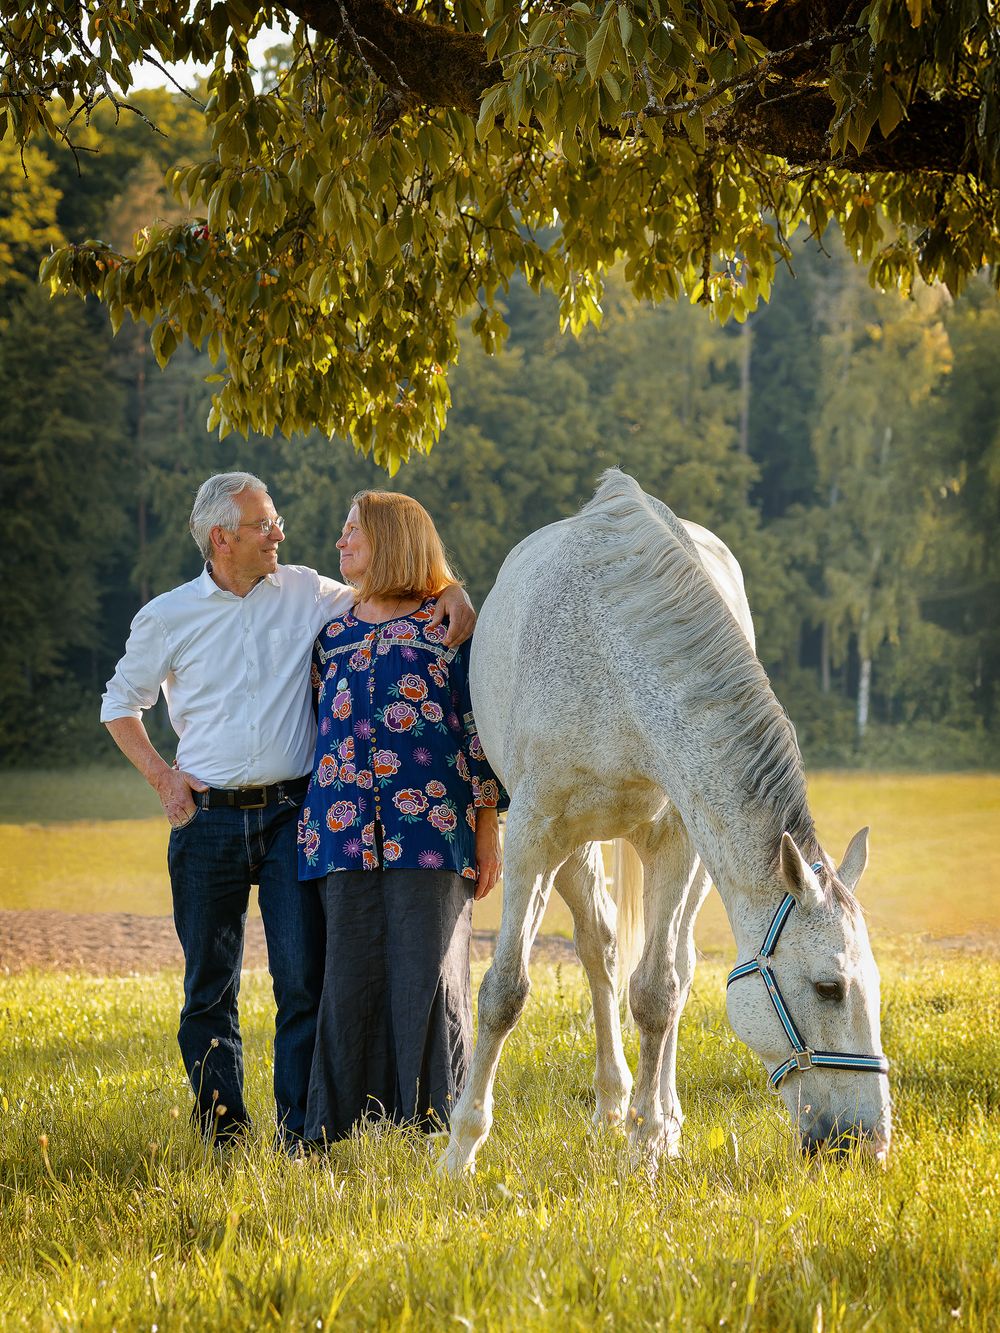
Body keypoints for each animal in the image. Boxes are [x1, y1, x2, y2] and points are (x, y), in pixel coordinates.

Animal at [440, 469, 891, 1175]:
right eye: (828, 988)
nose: (865, 1144)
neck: (614, 657)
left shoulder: (677, 839)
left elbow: (657, 992)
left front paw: (648, 1144)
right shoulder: (537, 835)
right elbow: (505, 992)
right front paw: (460, 1150)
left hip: (694, 861)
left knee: (670, 965)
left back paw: (656, 1115)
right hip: (575, 850)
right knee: (598, 948)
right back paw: (610, 1103)